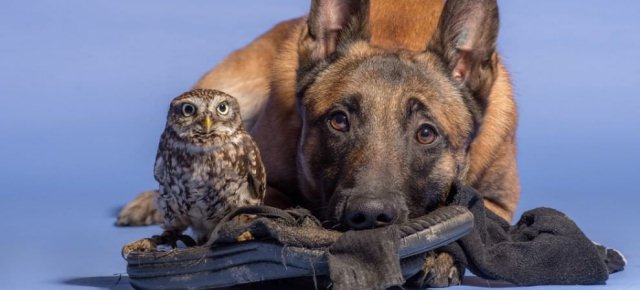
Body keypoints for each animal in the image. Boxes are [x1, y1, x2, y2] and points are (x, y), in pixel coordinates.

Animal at [119, 0, 520, 286]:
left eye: (426, 133)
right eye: (338, 120)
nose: (369, 217)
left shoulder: (497, 203)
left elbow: (477, 222)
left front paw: (444, 253)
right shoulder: (264, 182)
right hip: (233, 83)